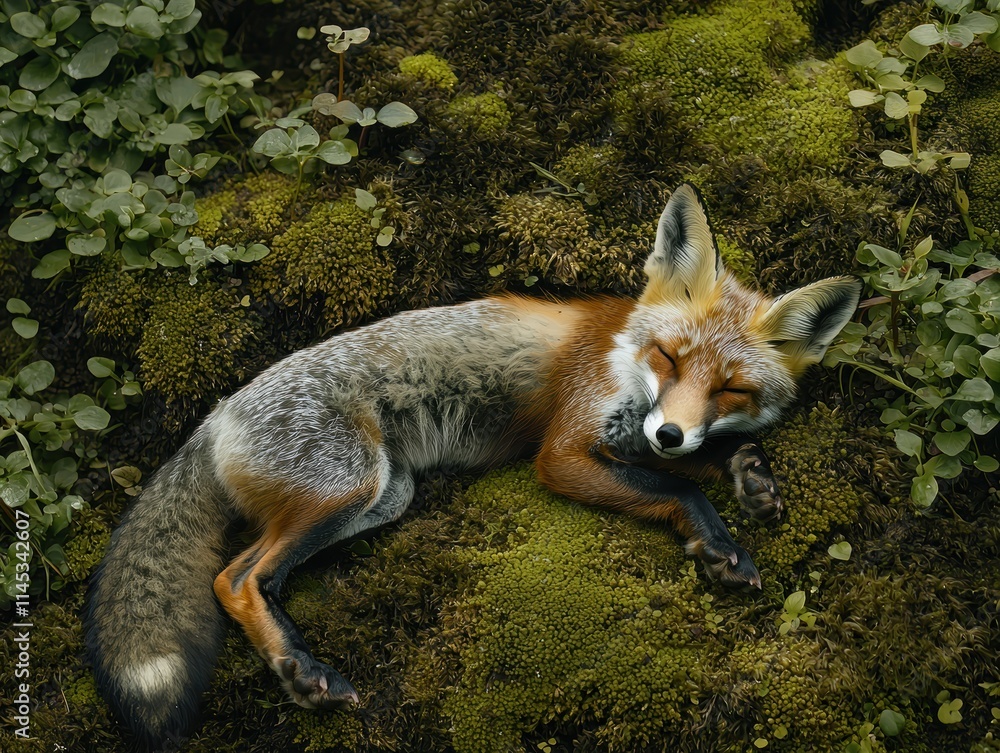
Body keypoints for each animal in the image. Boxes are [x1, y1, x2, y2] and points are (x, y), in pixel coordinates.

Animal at [84, 183, 861, 749]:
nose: (671, 431)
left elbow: (711, 455)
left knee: (257, 574)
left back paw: (295, 663)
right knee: (234, 577)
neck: (622, 350)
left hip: (384, 495)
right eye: (669, 357)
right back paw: (303, 671)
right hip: (349, 483)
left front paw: (750, 476)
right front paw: (719, 538)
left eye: (731, 389)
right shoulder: (565, 451)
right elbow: (674, 488)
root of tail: (217, 412)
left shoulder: (637, 435)